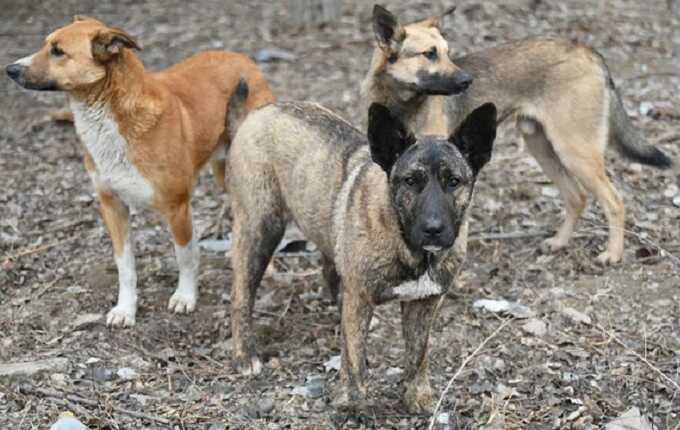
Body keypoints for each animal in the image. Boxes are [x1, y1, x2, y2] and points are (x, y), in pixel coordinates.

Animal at [6, 15, 274, 326]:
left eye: (58, 51)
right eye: (46, 45)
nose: (10, 69)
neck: (110, 116)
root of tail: (244, 59)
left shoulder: (177, 207)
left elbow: (185, 256)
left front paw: (185, 296)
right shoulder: (112, 206)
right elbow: (125, 267)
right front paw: (126, 309)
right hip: (223, 172)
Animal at [230, 85, 500, 414]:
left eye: (454, 181)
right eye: (410, 181)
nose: (433, 228)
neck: (407, 246)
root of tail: (260, 112)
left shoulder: (423, 305)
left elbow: (418, 354)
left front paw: (417, 396)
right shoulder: (360, 300)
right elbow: (356, 358)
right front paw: (355, 404)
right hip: (261, 230)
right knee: (241, 295)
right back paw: (245, 355)